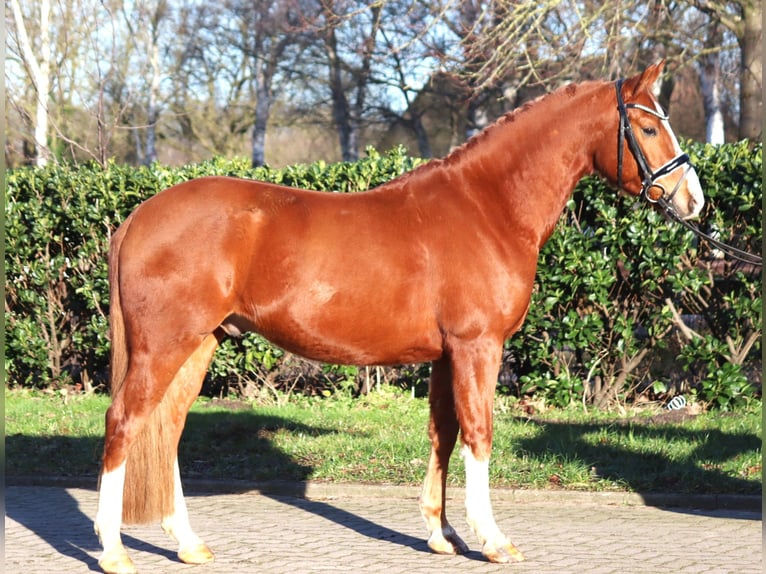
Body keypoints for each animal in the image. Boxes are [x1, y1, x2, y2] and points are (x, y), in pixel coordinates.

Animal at [94, 62, 704, 572]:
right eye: (648, 128)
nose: (693, 199)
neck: (488, 208)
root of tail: (139, 216)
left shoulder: (445, 356)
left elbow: (443, 433)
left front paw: (442, 534)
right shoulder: (477, 347)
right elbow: (479, 433)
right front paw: (493, 540)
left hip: (199, 345)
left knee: (167, 430)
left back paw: (187, 544)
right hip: (165, 346)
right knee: (124, 422)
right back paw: (114, 551)